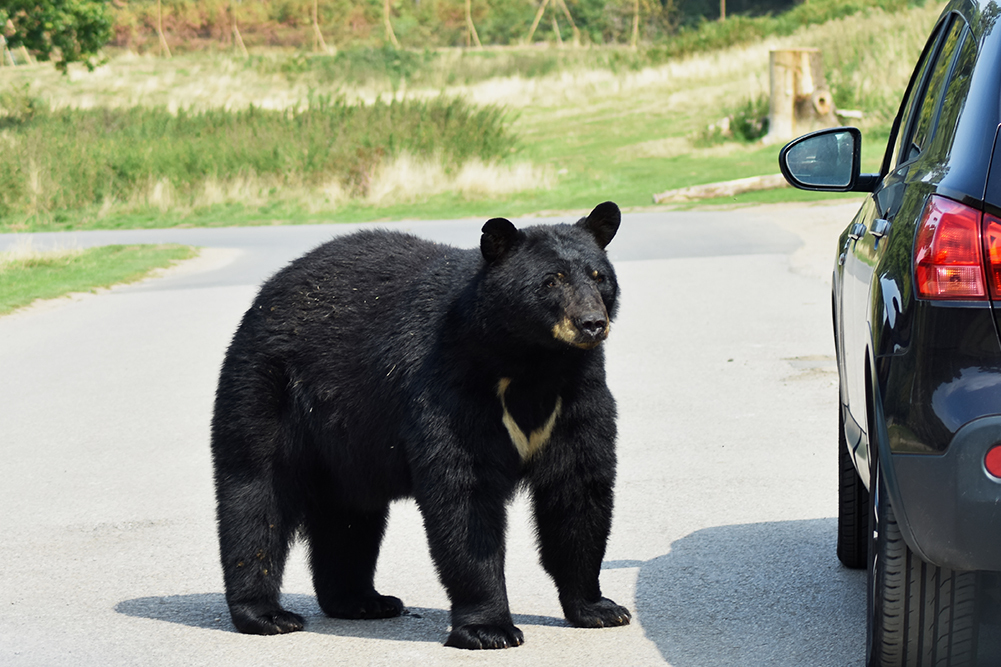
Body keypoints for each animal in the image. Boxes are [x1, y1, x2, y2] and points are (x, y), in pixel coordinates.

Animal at [211, 200, 628, 644]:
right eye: (550, 281)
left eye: (599, 276)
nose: (591, 323)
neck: (531, 364)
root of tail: (267, 292)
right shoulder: (451, 382)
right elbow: (465, 494)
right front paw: (489, 628)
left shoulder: (576, 394)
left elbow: (578, 488)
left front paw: (598, 608)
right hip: (265, 388)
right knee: (256, 495)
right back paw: (266, 614)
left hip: (348, 444)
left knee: (349, 517)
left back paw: (362, 601)